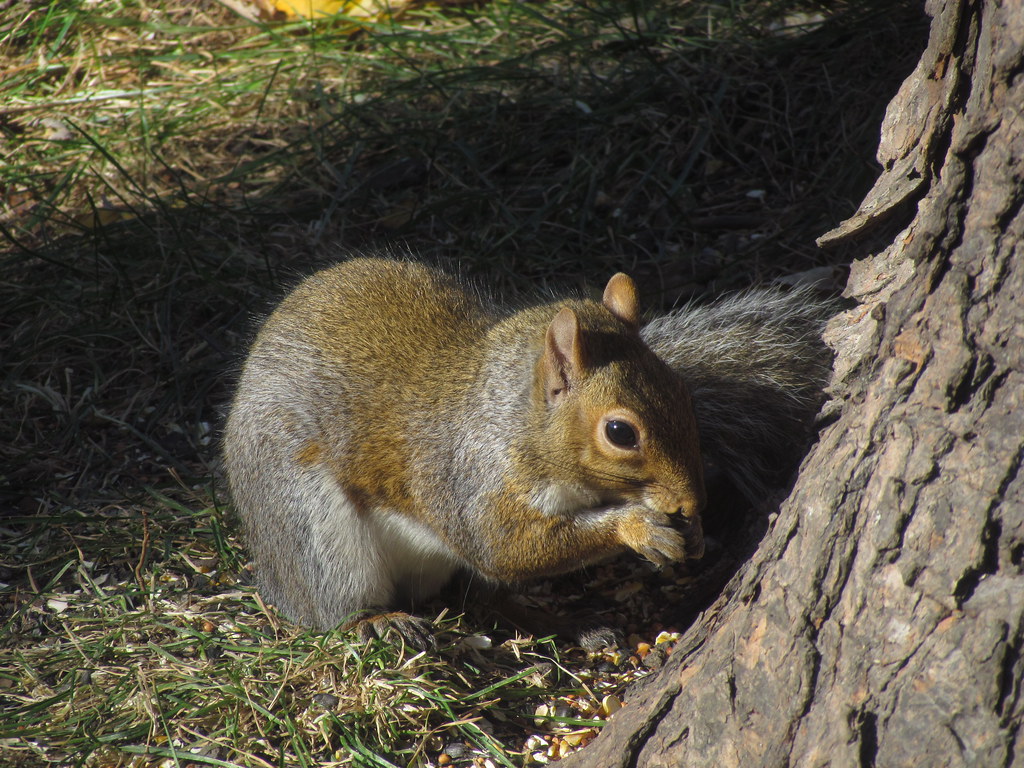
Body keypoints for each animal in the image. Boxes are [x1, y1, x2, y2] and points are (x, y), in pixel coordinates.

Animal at [224, 256, 832, 646]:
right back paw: (373, 621)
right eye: (621, 433)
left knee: (478, 595)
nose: (691, 504)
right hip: (312, 528)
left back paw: (565, 622)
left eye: (683, 391)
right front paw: (637, 527)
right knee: (326, 605)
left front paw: (690, 530)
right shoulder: (469, 481)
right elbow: (505, 546)